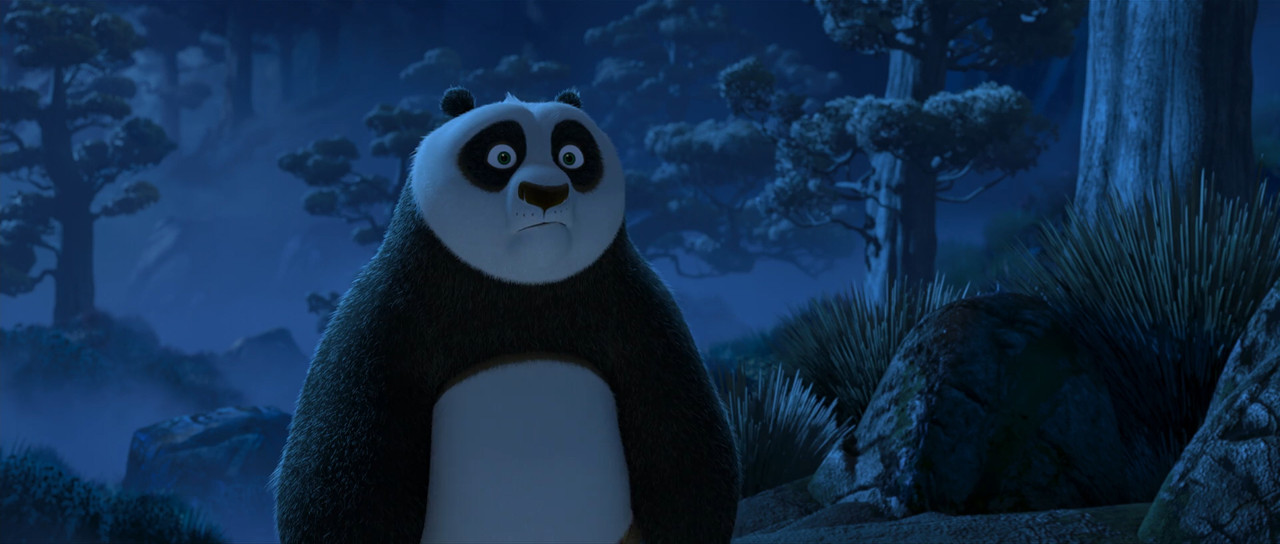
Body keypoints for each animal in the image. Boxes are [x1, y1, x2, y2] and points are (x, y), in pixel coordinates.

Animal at [272, 87, 740, 544]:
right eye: (501, 156)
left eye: (571, 156)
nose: (546, 193)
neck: (525, 283)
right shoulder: (387, 313)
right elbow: (342, 459)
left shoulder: (637, 310)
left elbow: (682, 431)